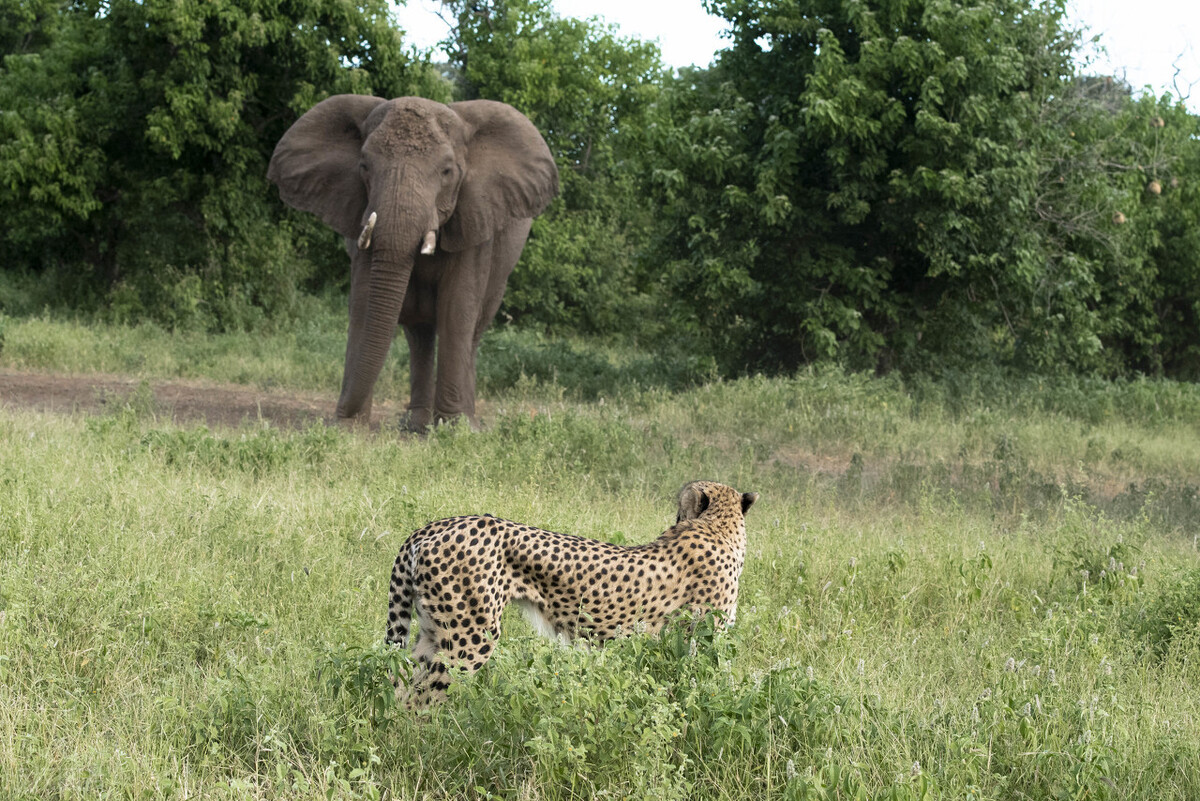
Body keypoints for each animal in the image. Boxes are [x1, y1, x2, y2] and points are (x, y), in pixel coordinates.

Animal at [268, 95, 558, 429]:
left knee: (473, 330)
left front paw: (455, 429)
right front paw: (347, 427)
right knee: (419, 332)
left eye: (447, 171)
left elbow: (457, 307)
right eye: (364, 166)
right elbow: (364, 302)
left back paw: (465, 421)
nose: (340, 414)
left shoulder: (474, 216)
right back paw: (416, 424)